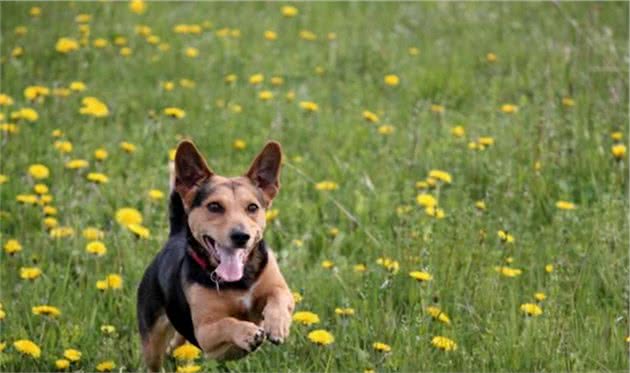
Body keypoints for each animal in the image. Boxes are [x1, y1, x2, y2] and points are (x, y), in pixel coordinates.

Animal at [137, 140, 296, 370]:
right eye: (214, 206)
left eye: (252, 207)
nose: (241, 236)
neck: (238, 281)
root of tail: (175, 235)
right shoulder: (204, 333)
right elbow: (226, 323)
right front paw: (247, 333)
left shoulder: (279, 287)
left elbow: (279, 296)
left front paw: (277, 324)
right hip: (152, 338)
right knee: (155, 359)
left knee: (176, 343)